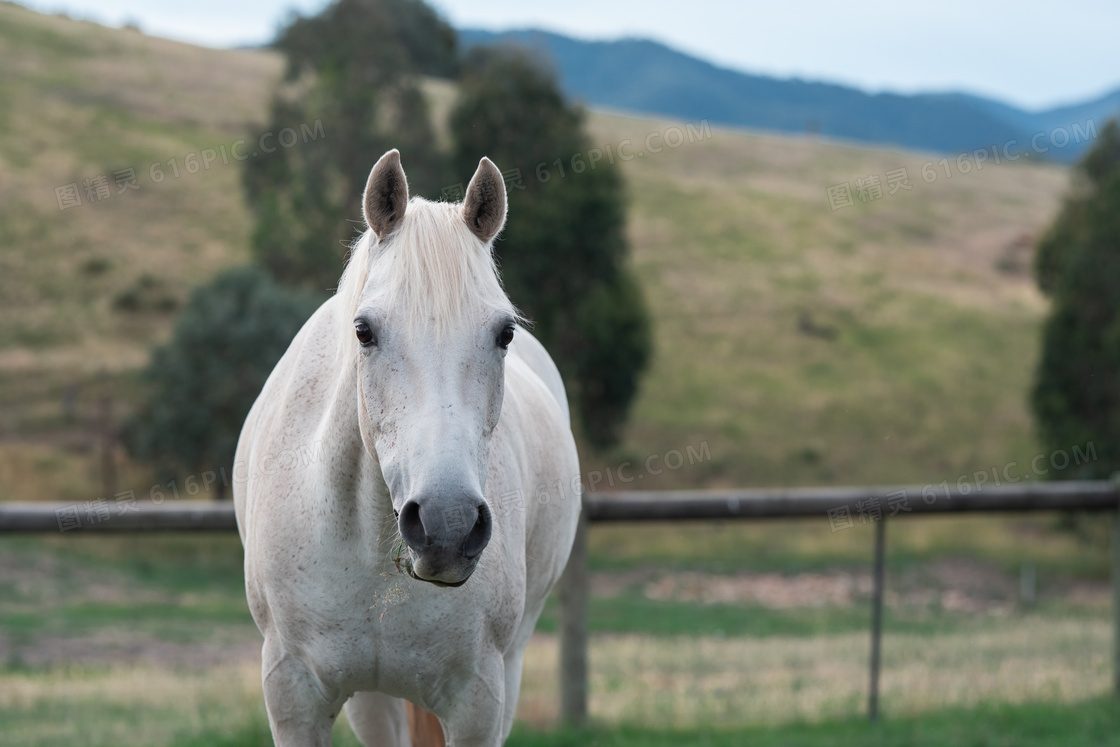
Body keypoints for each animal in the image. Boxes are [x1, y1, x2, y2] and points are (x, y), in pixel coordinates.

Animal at [237, 152, 586, 747]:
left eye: (505, 334)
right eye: (364, 330)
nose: (448, 526)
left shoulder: (477, 703)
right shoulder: (293, 691)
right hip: (373, 702)